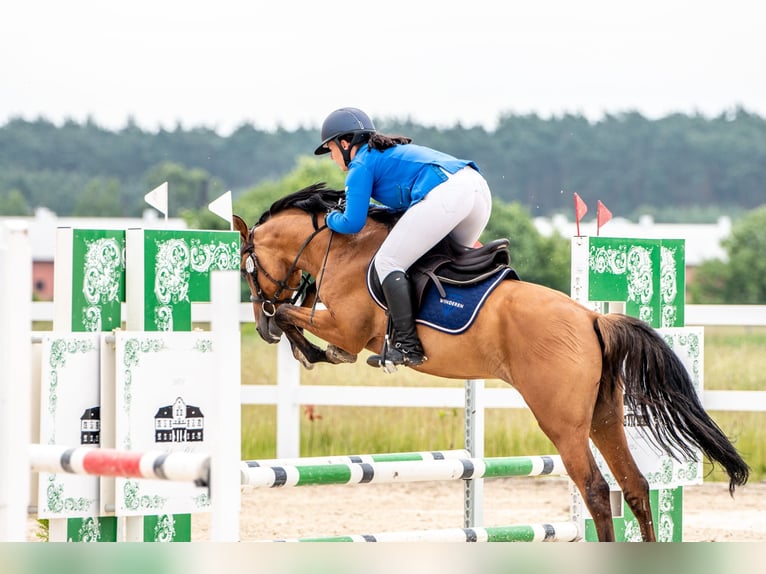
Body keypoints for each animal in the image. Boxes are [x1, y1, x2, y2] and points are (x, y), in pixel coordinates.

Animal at [234, 182, 752, 544]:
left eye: (246, 266)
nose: (258, 329)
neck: (342, 248)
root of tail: (591, 317)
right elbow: (298, 313)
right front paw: (299, 340)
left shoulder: (348, 326)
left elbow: (295, 315)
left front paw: (304, 346)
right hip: (604, 415)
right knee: (635, 485)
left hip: (562, 421)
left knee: (595, 489)